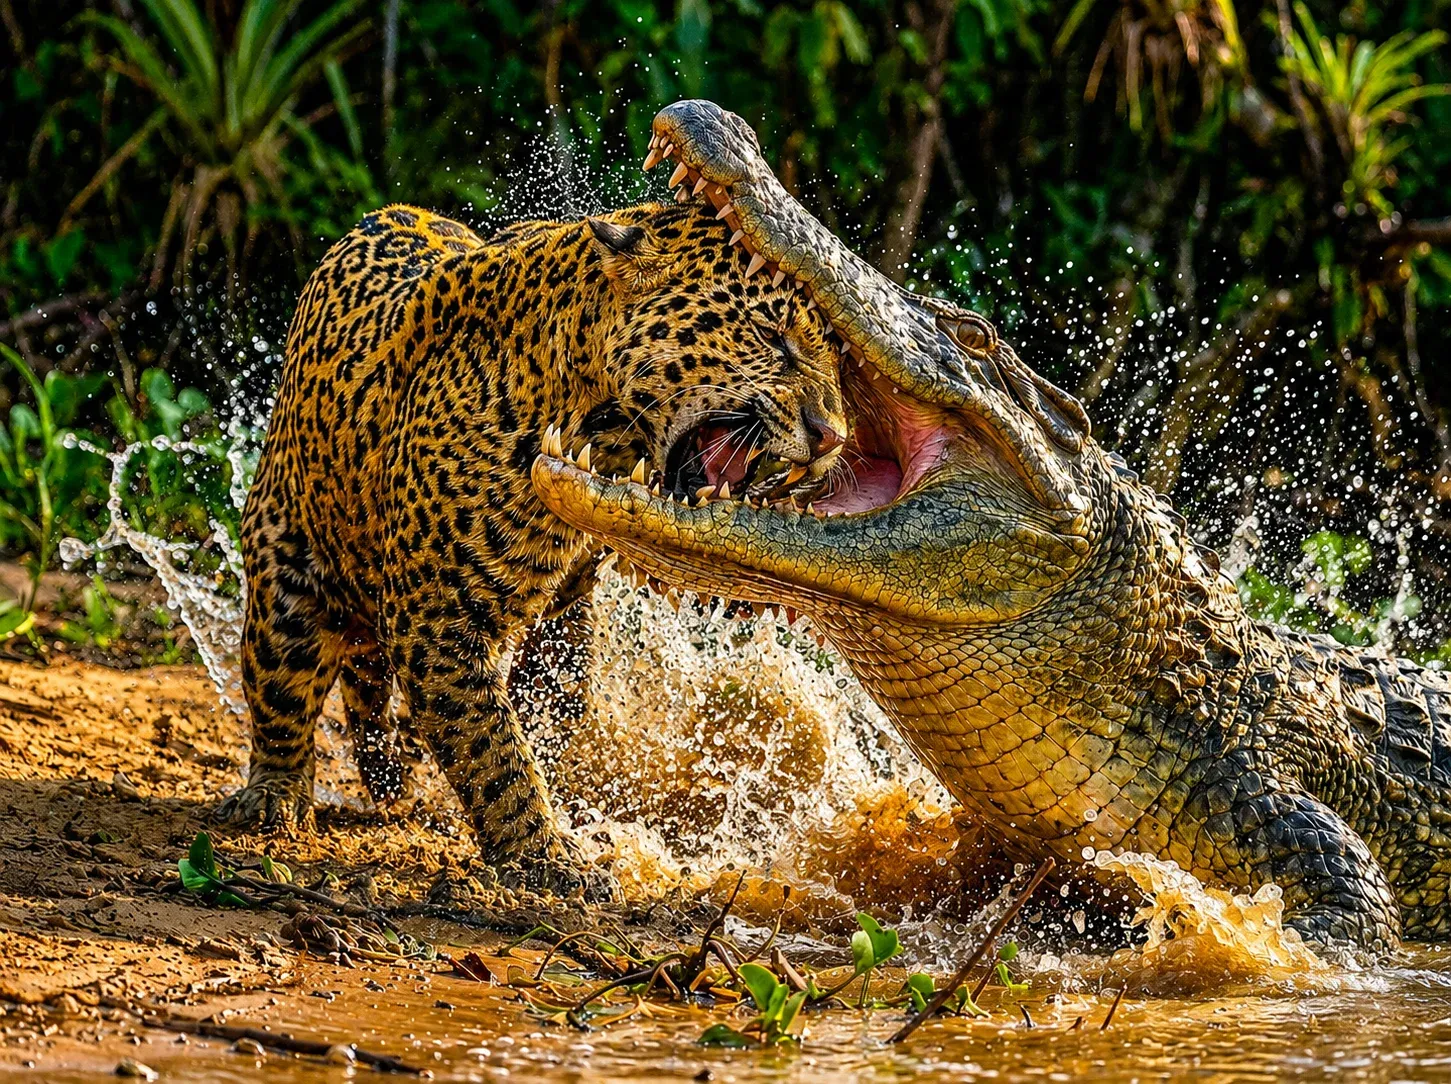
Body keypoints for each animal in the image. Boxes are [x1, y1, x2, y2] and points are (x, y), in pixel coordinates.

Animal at [214, 199, 849, 898]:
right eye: (771, 337)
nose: (833, 436)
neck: (594, 423)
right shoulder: (439, 617)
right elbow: (490, 745)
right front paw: (547, 854)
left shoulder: (563, 609)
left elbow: (546, 711)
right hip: (285, 566)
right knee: (281, 688)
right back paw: (275, 795)